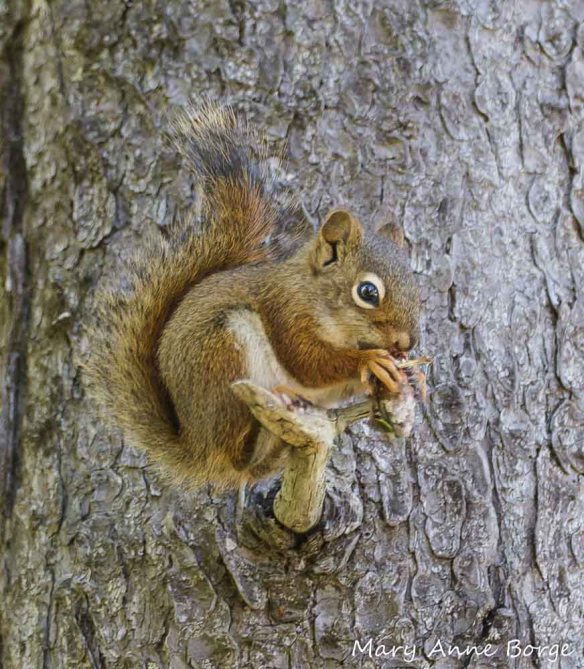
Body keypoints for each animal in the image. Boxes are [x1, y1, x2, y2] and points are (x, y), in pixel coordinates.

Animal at [85, 103, 421, 490]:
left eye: (417, 287)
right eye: (368, 292)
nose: (407, 342)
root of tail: (196, 445)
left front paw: (409, 375)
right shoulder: (287, 311)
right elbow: (308, 364)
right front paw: (368, 361)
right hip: (224, 351)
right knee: (235, 453)